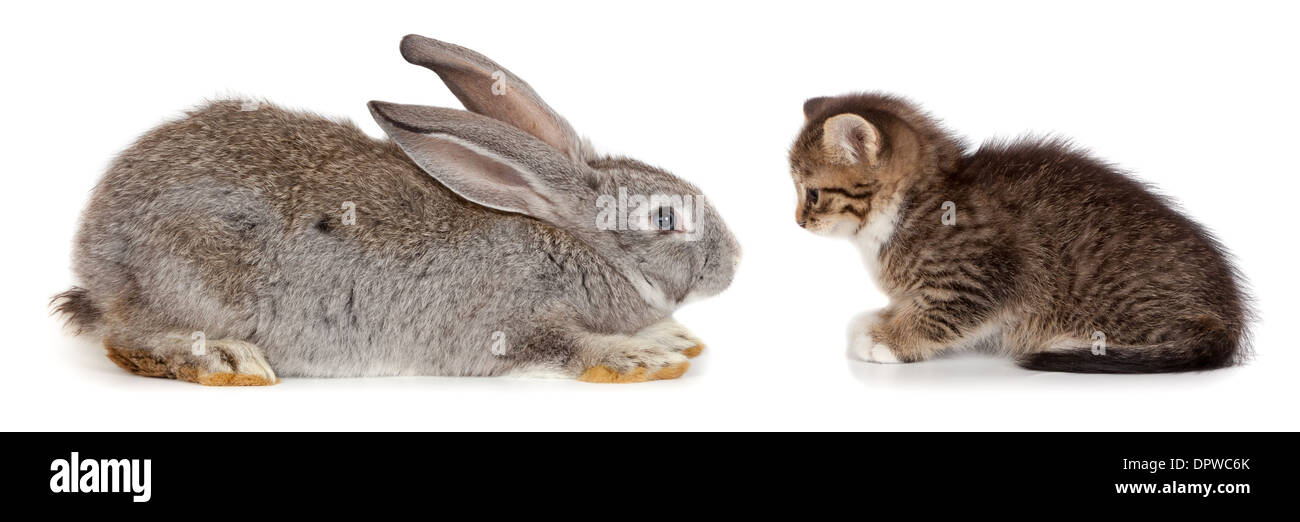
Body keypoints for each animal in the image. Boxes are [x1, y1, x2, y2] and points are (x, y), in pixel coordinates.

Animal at [55, 33, 743, 384]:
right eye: (664, 218)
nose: (734, 262)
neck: (571, 241)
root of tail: (97, 256)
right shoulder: (508, 322)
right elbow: (559, 345)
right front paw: (638, 357)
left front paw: (671, 337)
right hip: (191, 273)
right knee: (127, 338)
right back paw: (225, 361)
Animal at [790, 93, 1248, 371]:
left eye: (812, 193)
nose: (798, 221)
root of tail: (1229, 319)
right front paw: (883, 319)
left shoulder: (983, 272)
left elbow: (944, 313)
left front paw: (891, 338)